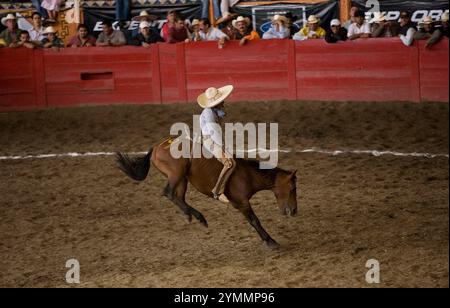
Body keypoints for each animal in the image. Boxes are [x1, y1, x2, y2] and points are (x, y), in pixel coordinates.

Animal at [116, 138, 298, 248]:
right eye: (292, 188)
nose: (295, 211)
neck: (248, 175)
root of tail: (157, 147)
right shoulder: (242, 202)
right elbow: (255, 220)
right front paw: (270, 241)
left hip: (182, 178)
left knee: (177, 196)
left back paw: (192, 215)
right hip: (177, 173)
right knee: (168, 192)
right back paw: (198, 216)